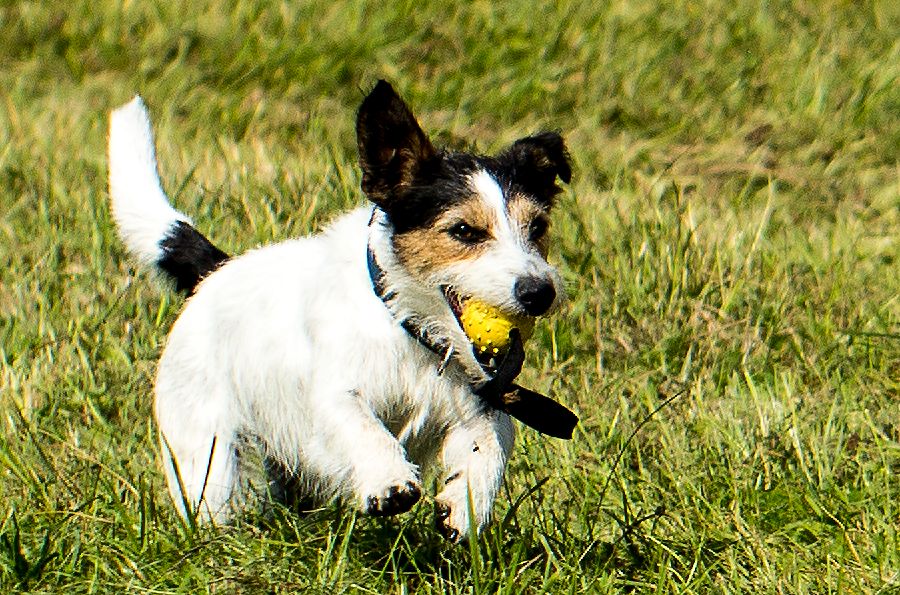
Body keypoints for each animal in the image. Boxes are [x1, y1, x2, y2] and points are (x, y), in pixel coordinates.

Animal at [105, 81, 568, 544]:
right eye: (464, 230)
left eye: (537, 227)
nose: (539, 292)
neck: (408, 325)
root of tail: (214, 273)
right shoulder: (332, 393)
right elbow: (355, 421)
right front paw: (389, 481)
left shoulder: (481, 401)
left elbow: (493, 441)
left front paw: (467, 502)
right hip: (211, 459)